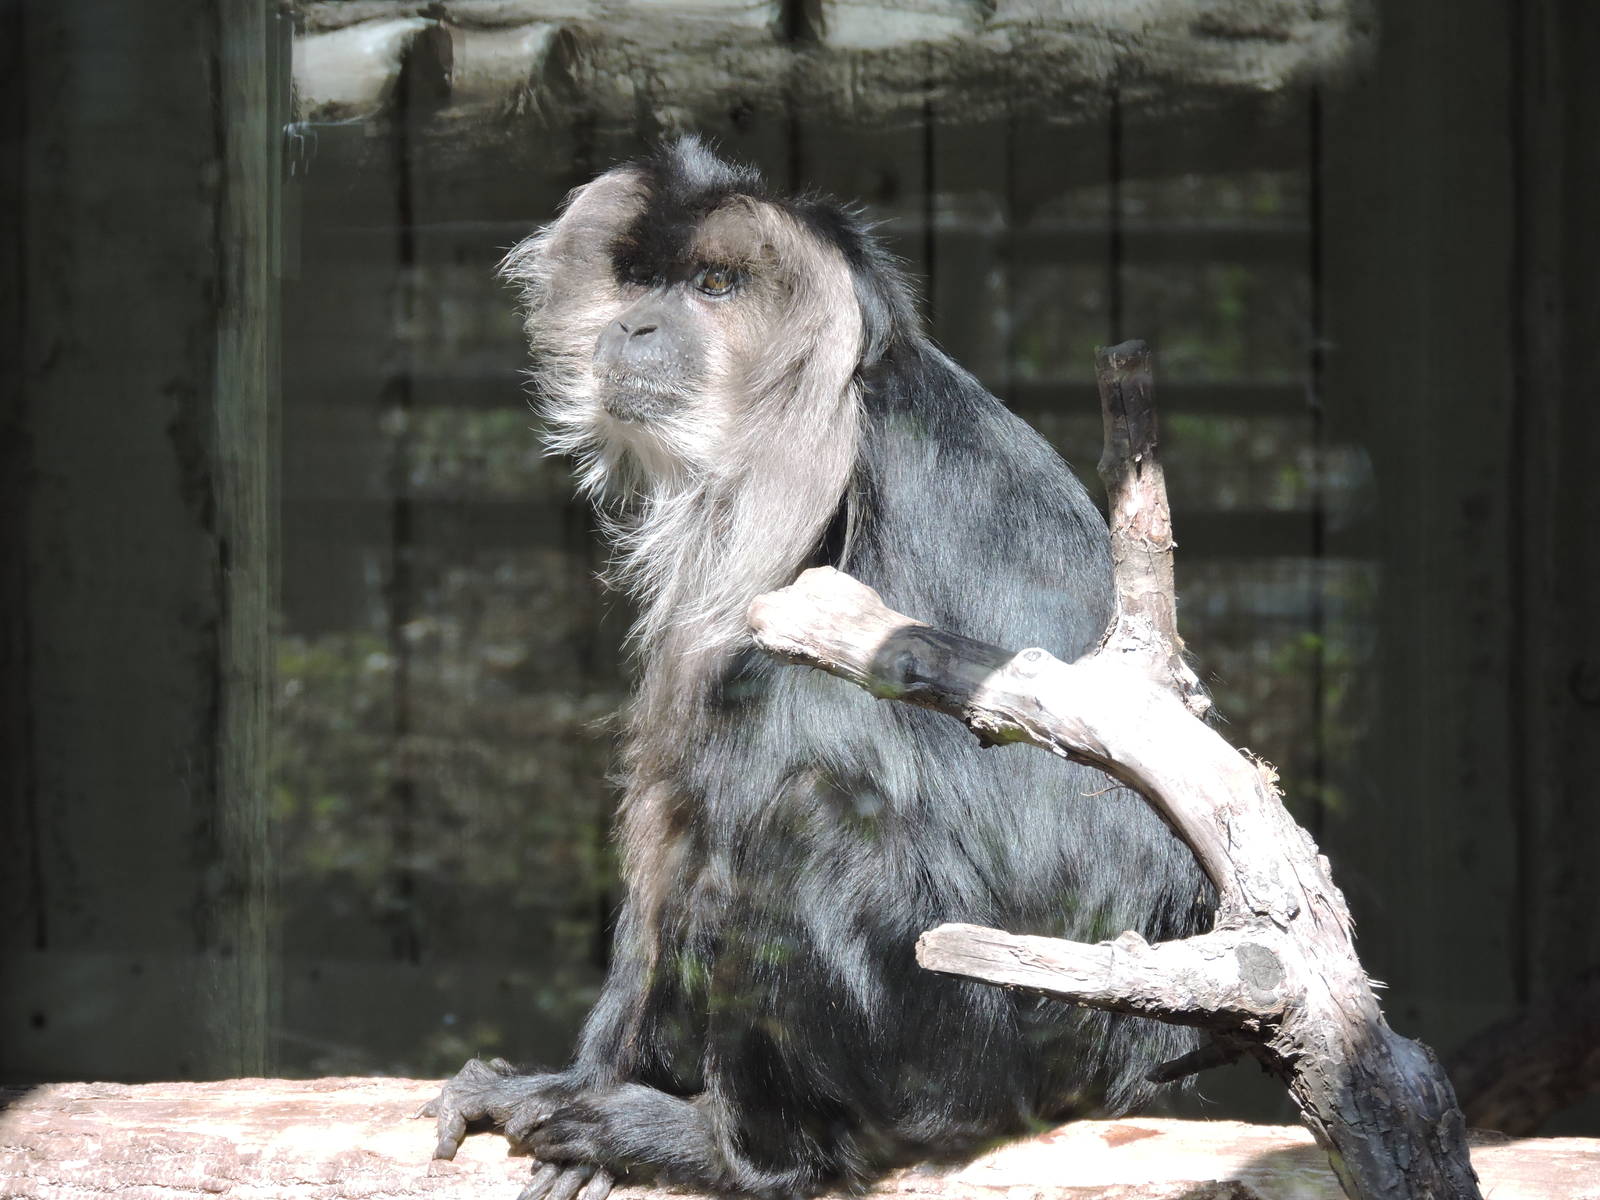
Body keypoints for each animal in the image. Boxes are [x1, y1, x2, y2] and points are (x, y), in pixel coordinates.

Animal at [422, 137, 1211, 1200]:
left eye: (712, 285)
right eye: (637, 280)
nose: (635, 325)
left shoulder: (802, 474)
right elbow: (669, 811)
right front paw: (587, 1070)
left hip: (988, 1039)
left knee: (805, 761)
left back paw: (729, 1148)